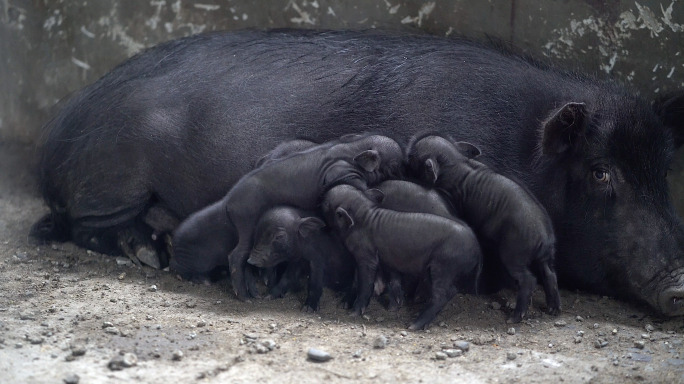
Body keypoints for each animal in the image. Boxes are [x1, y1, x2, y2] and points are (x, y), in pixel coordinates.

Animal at [30, 30, 684, 316]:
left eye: (663, 172)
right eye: (601, 173)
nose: (678, 283)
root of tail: (57, 127)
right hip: (113, 177)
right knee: (84, 226)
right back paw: (150, 253)